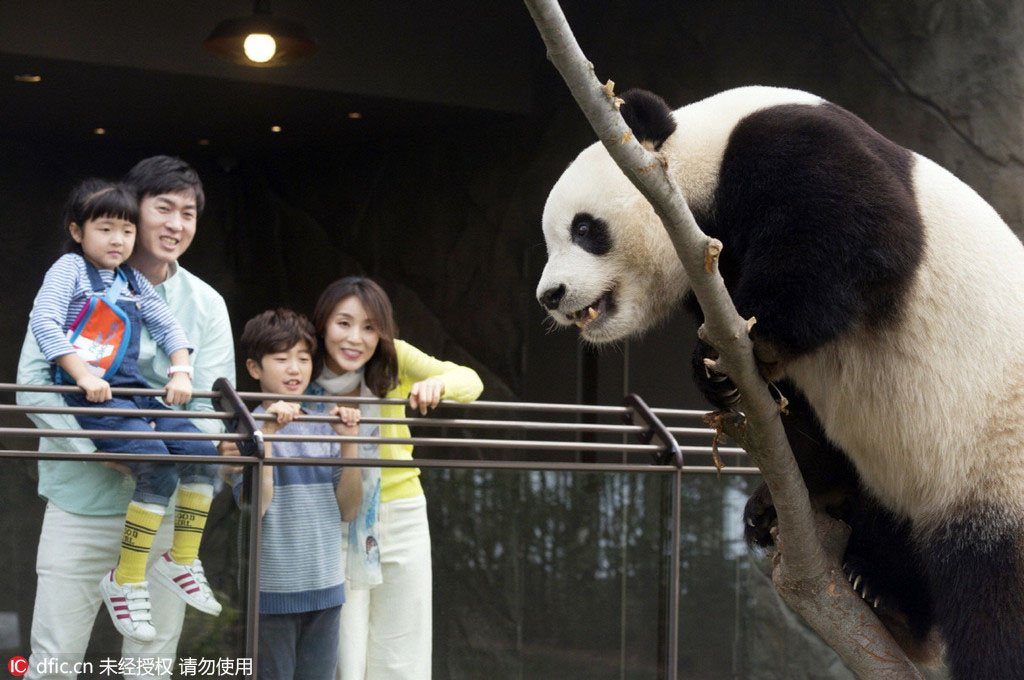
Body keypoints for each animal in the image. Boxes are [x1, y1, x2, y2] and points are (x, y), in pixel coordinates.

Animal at [532, 86, 1024, 680]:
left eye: (584, 229)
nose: (551, 295)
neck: (698, 167)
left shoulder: (791, 147)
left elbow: (856, 232)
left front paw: (752, 340)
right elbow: (799, 409)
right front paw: (728, 393)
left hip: (996, 462)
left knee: (994, 591)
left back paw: (890, 597)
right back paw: (880, 590)